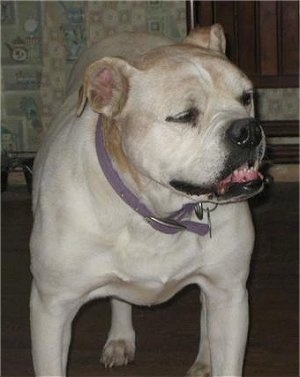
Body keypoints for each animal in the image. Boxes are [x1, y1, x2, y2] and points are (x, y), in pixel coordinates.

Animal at [29, 25, 264, 374]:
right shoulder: (52, 308)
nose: (248, 130)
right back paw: (120, 339)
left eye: (246, 98)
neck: (154, 210)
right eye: (184, 116)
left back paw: (204, 358)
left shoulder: (229, 292)